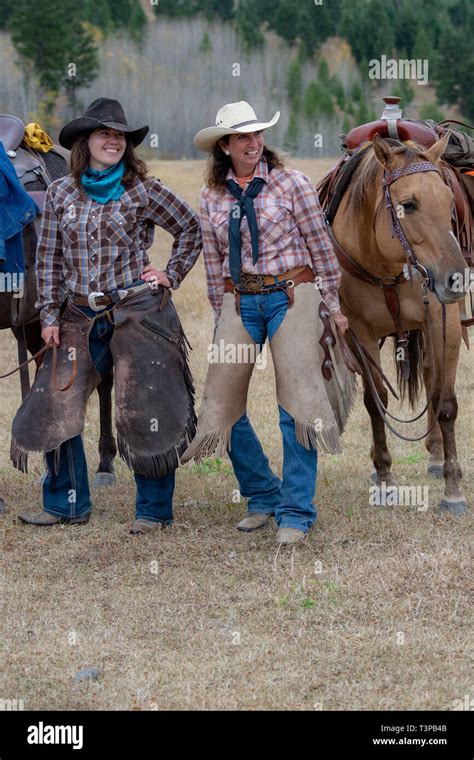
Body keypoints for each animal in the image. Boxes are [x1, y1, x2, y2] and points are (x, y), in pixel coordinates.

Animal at [320, 101, 472, 512]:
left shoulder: (443, 320)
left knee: (433, 381)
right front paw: (385, 477)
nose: (454, 278)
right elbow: (377, 403)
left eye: (448, 203)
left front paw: (453, 488)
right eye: (408, 204)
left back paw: (436, 456)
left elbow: (445, 401)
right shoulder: (358, 331)